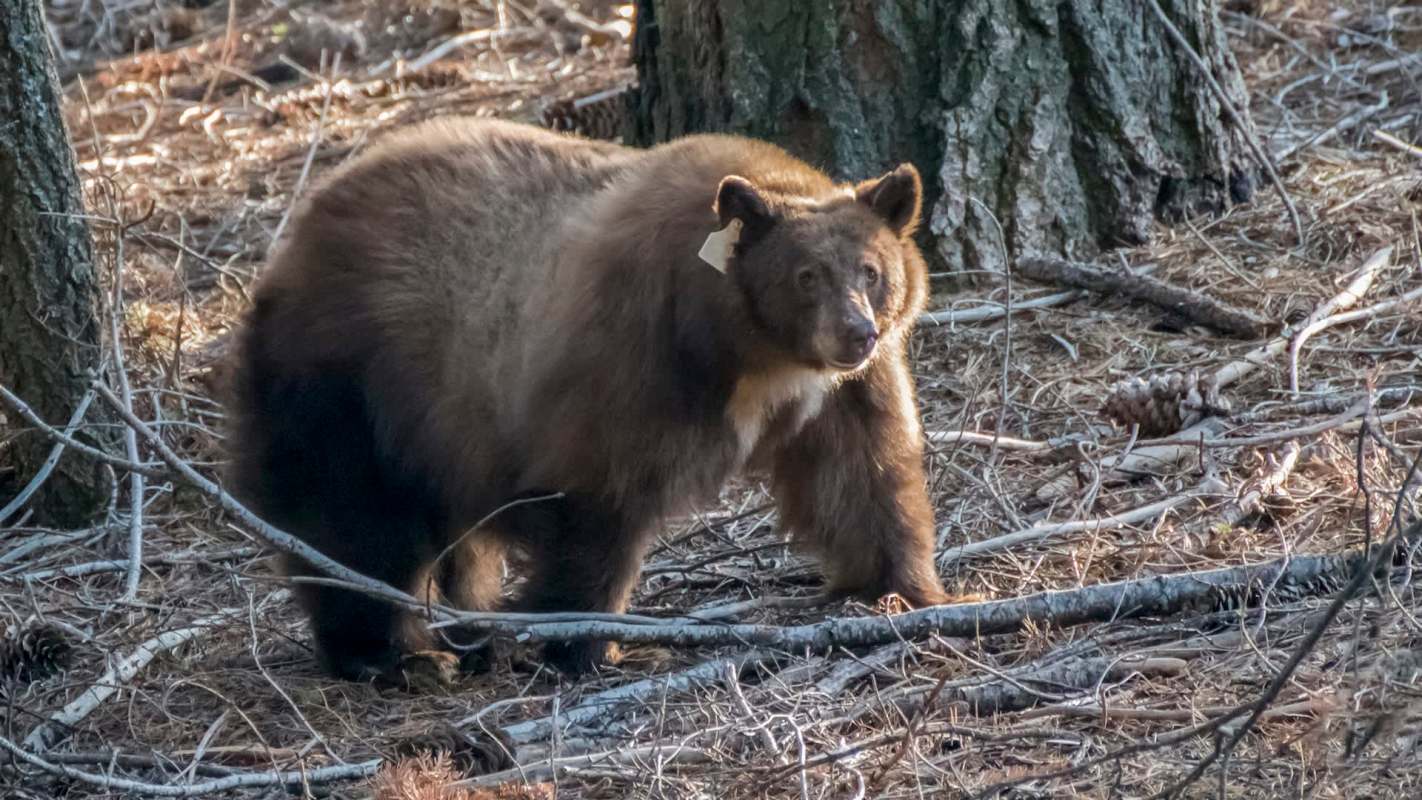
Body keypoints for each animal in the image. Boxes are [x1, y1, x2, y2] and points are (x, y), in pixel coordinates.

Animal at [227, 117, 947, 682]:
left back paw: (466, 629)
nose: (856, 332)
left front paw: (903, 591)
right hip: (353, 380)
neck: (749, 353)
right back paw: (395, 654)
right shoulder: (633, 361)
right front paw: (579, 644)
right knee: (352, 519)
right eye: (806, 277)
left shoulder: (840, 394)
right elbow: (602, 501)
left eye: (871, 271)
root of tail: (293, 238)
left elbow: (863, 475)